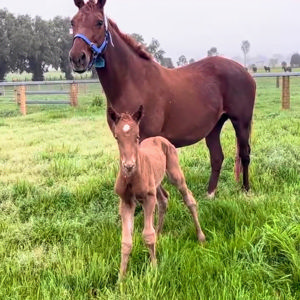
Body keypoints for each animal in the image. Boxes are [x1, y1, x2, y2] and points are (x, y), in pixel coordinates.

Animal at [108, 106, 206, 278]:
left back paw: (200, 237)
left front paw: (154, 270)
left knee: (189, 199)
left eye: (137, 136)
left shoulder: (148, 198)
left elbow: (147, 235)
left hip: (174, 173)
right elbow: (126, 241)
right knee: (164, 199)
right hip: (157, 182)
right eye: (117, 137)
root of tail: (160, 138)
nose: (128, 166)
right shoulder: (126, 201)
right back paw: (159, 234)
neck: (132, 179)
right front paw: (121, 277)